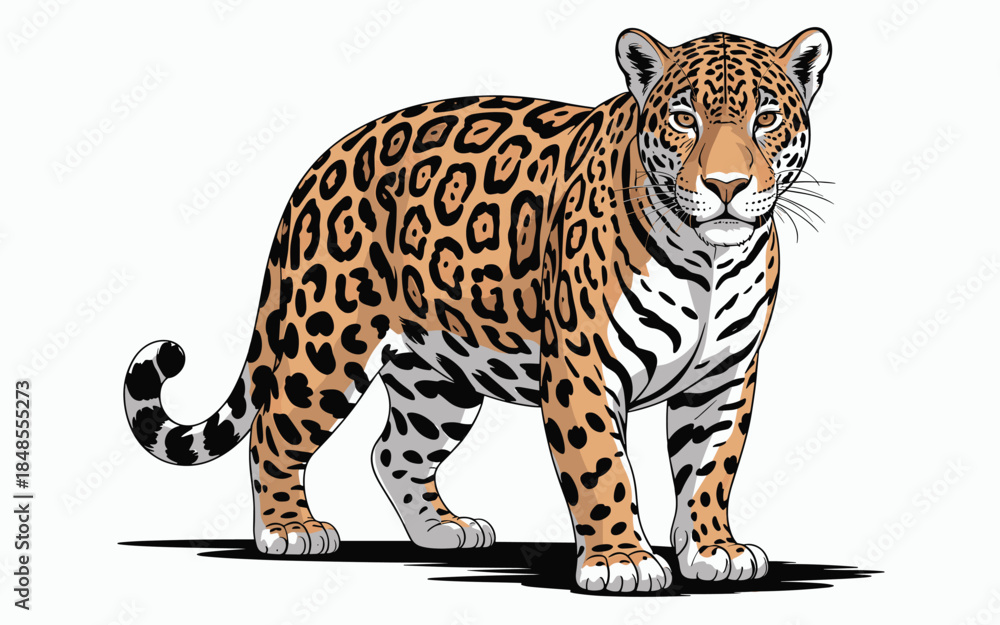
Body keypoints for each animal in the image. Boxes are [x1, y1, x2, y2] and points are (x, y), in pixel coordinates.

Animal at [124, 27, 832, 593]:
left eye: (767, 119)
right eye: (685, 119)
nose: (726, 186)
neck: (708, 259)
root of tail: (321, 164)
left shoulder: (726, 377)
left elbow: (711, 468)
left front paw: (713, 549)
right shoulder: (583, 366)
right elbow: (603, 468)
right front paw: (621, 561)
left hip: (439, 378)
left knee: (393, 451)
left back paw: (443, 530)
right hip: (327, 344)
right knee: (274, 431)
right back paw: (288, 529)